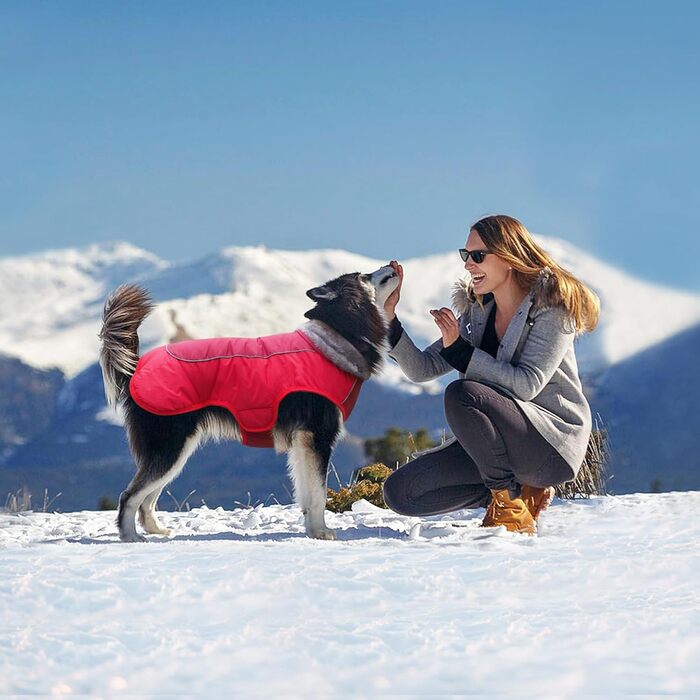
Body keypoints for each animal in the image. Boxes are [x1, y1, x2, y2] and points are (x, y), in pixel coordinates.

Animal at [98, 264, 400, 540]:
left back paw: (156, 530)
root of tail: (135, 367)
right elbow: (317, 494)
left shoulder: (302, 443)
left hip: (177, 451)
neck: (336, 341)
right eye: (363, 276)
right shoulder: (317, 437)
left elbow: (306, 492)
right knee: (129, 496)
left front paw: (311, 530)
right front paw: (321, 533)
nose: (392, 264)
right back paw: (130, 536)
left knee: (147, 497)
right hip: (170, 446)